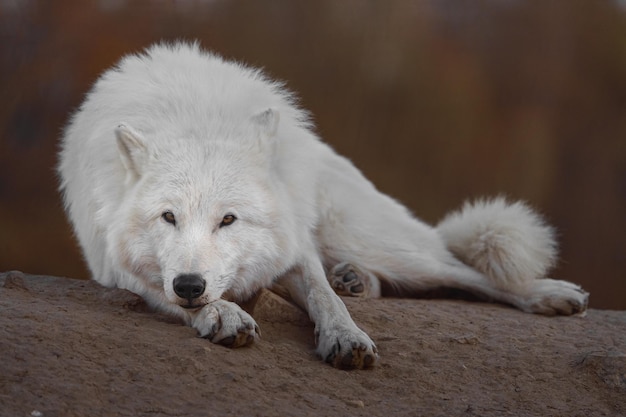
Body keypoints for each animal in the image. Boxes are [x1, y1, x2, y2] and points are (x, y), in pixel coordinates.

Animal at [58, 41, 584, 368]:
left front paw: (346, 337)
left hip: (368, 239)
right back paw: (356, 280)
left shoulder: (295, 248)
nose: (190, 284)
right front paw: (221, 313)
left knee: (463, 270)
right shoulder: (115, 268)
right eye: (168, 217)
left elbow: (322, 296)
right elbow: (170, 294)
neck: (193, 121)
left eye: (228, 220)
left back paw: (548, 294)